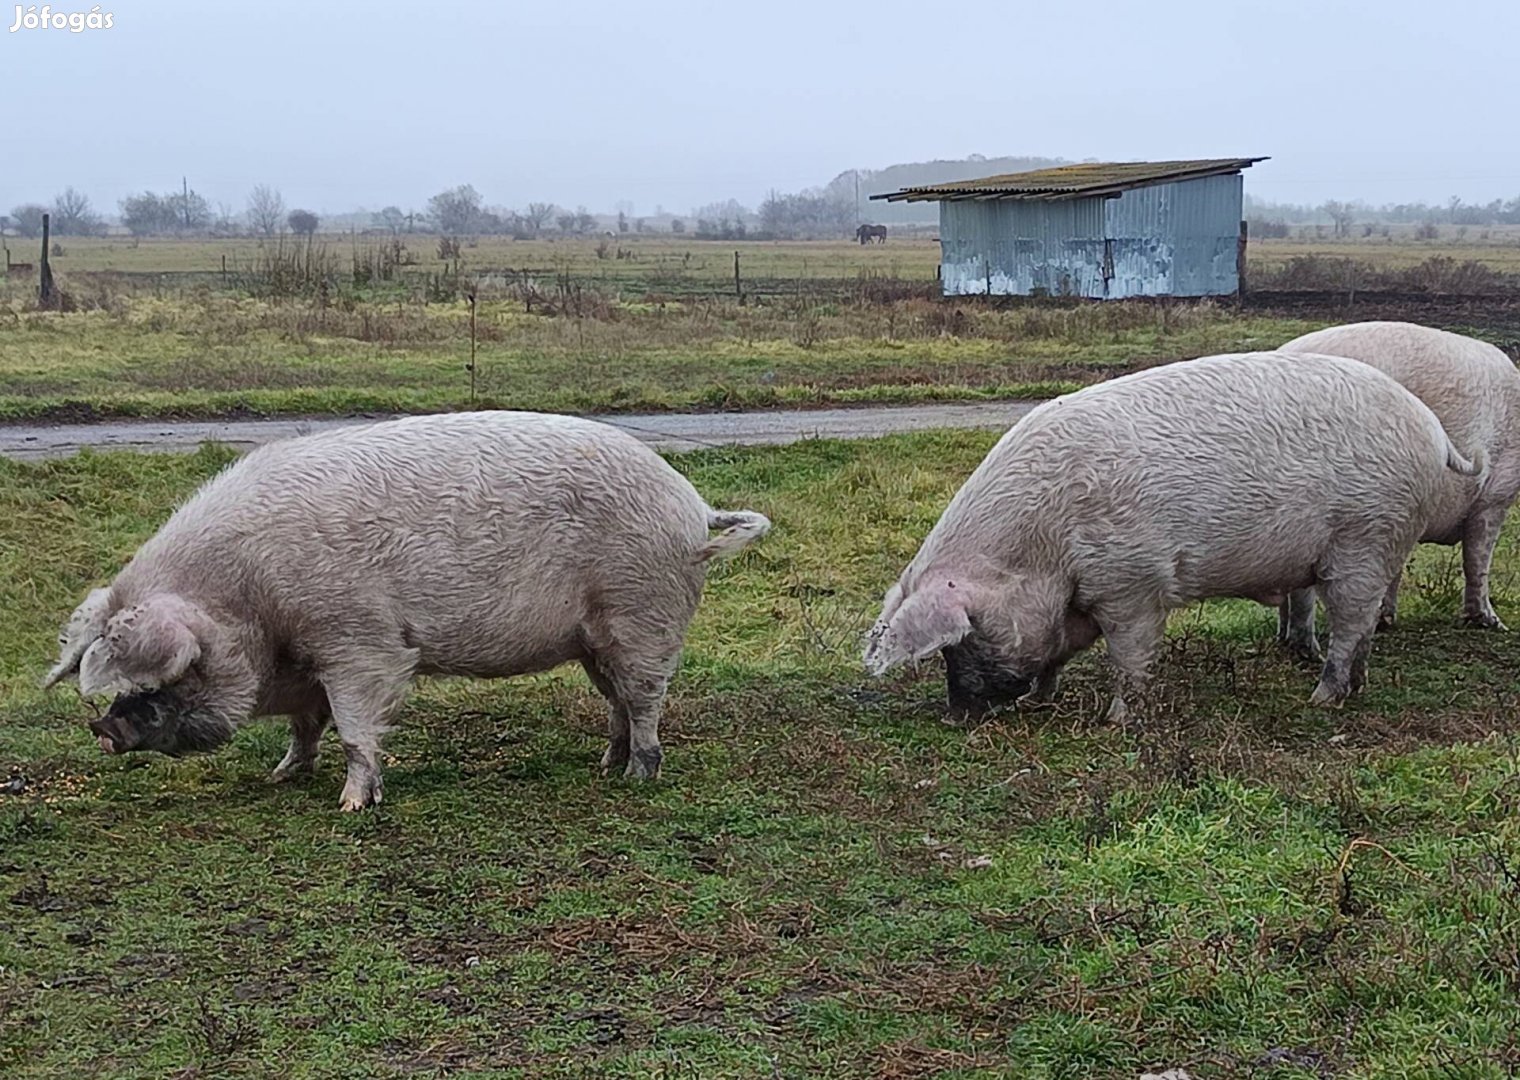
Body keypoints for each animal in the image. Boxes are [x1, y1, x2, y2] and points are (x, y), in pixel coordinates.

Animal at [44, 413, 772, 814]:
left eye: (171, 675)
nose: (102, 728)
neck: (250, 602)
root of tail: (693, 507)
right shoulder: (309, 662)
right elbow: (306, 726)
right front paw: (281, 775)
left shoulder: (357, 640)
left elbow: (353, 727)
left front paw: (350, 808)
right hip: (596, 640)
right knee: (618, 701)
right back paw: (604, 765)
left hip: (641, 615)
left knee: (646, 700)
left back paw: (637, 778)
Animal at [869, 355, 1483, 723]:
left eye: (961, 637)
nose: (956, 715)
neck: (1040, 547)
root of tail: (1434, 431)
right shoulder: (1079, 598)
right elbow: (1059, 650)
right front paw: (1042, 698)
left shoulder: (1131, 583)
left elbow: (1131, 654)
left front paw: (1118, 719)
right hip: (1378, 546)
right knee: (1364, 628)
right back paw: (1354, 688)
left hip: (1365, 539)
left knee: (1352, 623)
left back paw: (1321, 697)